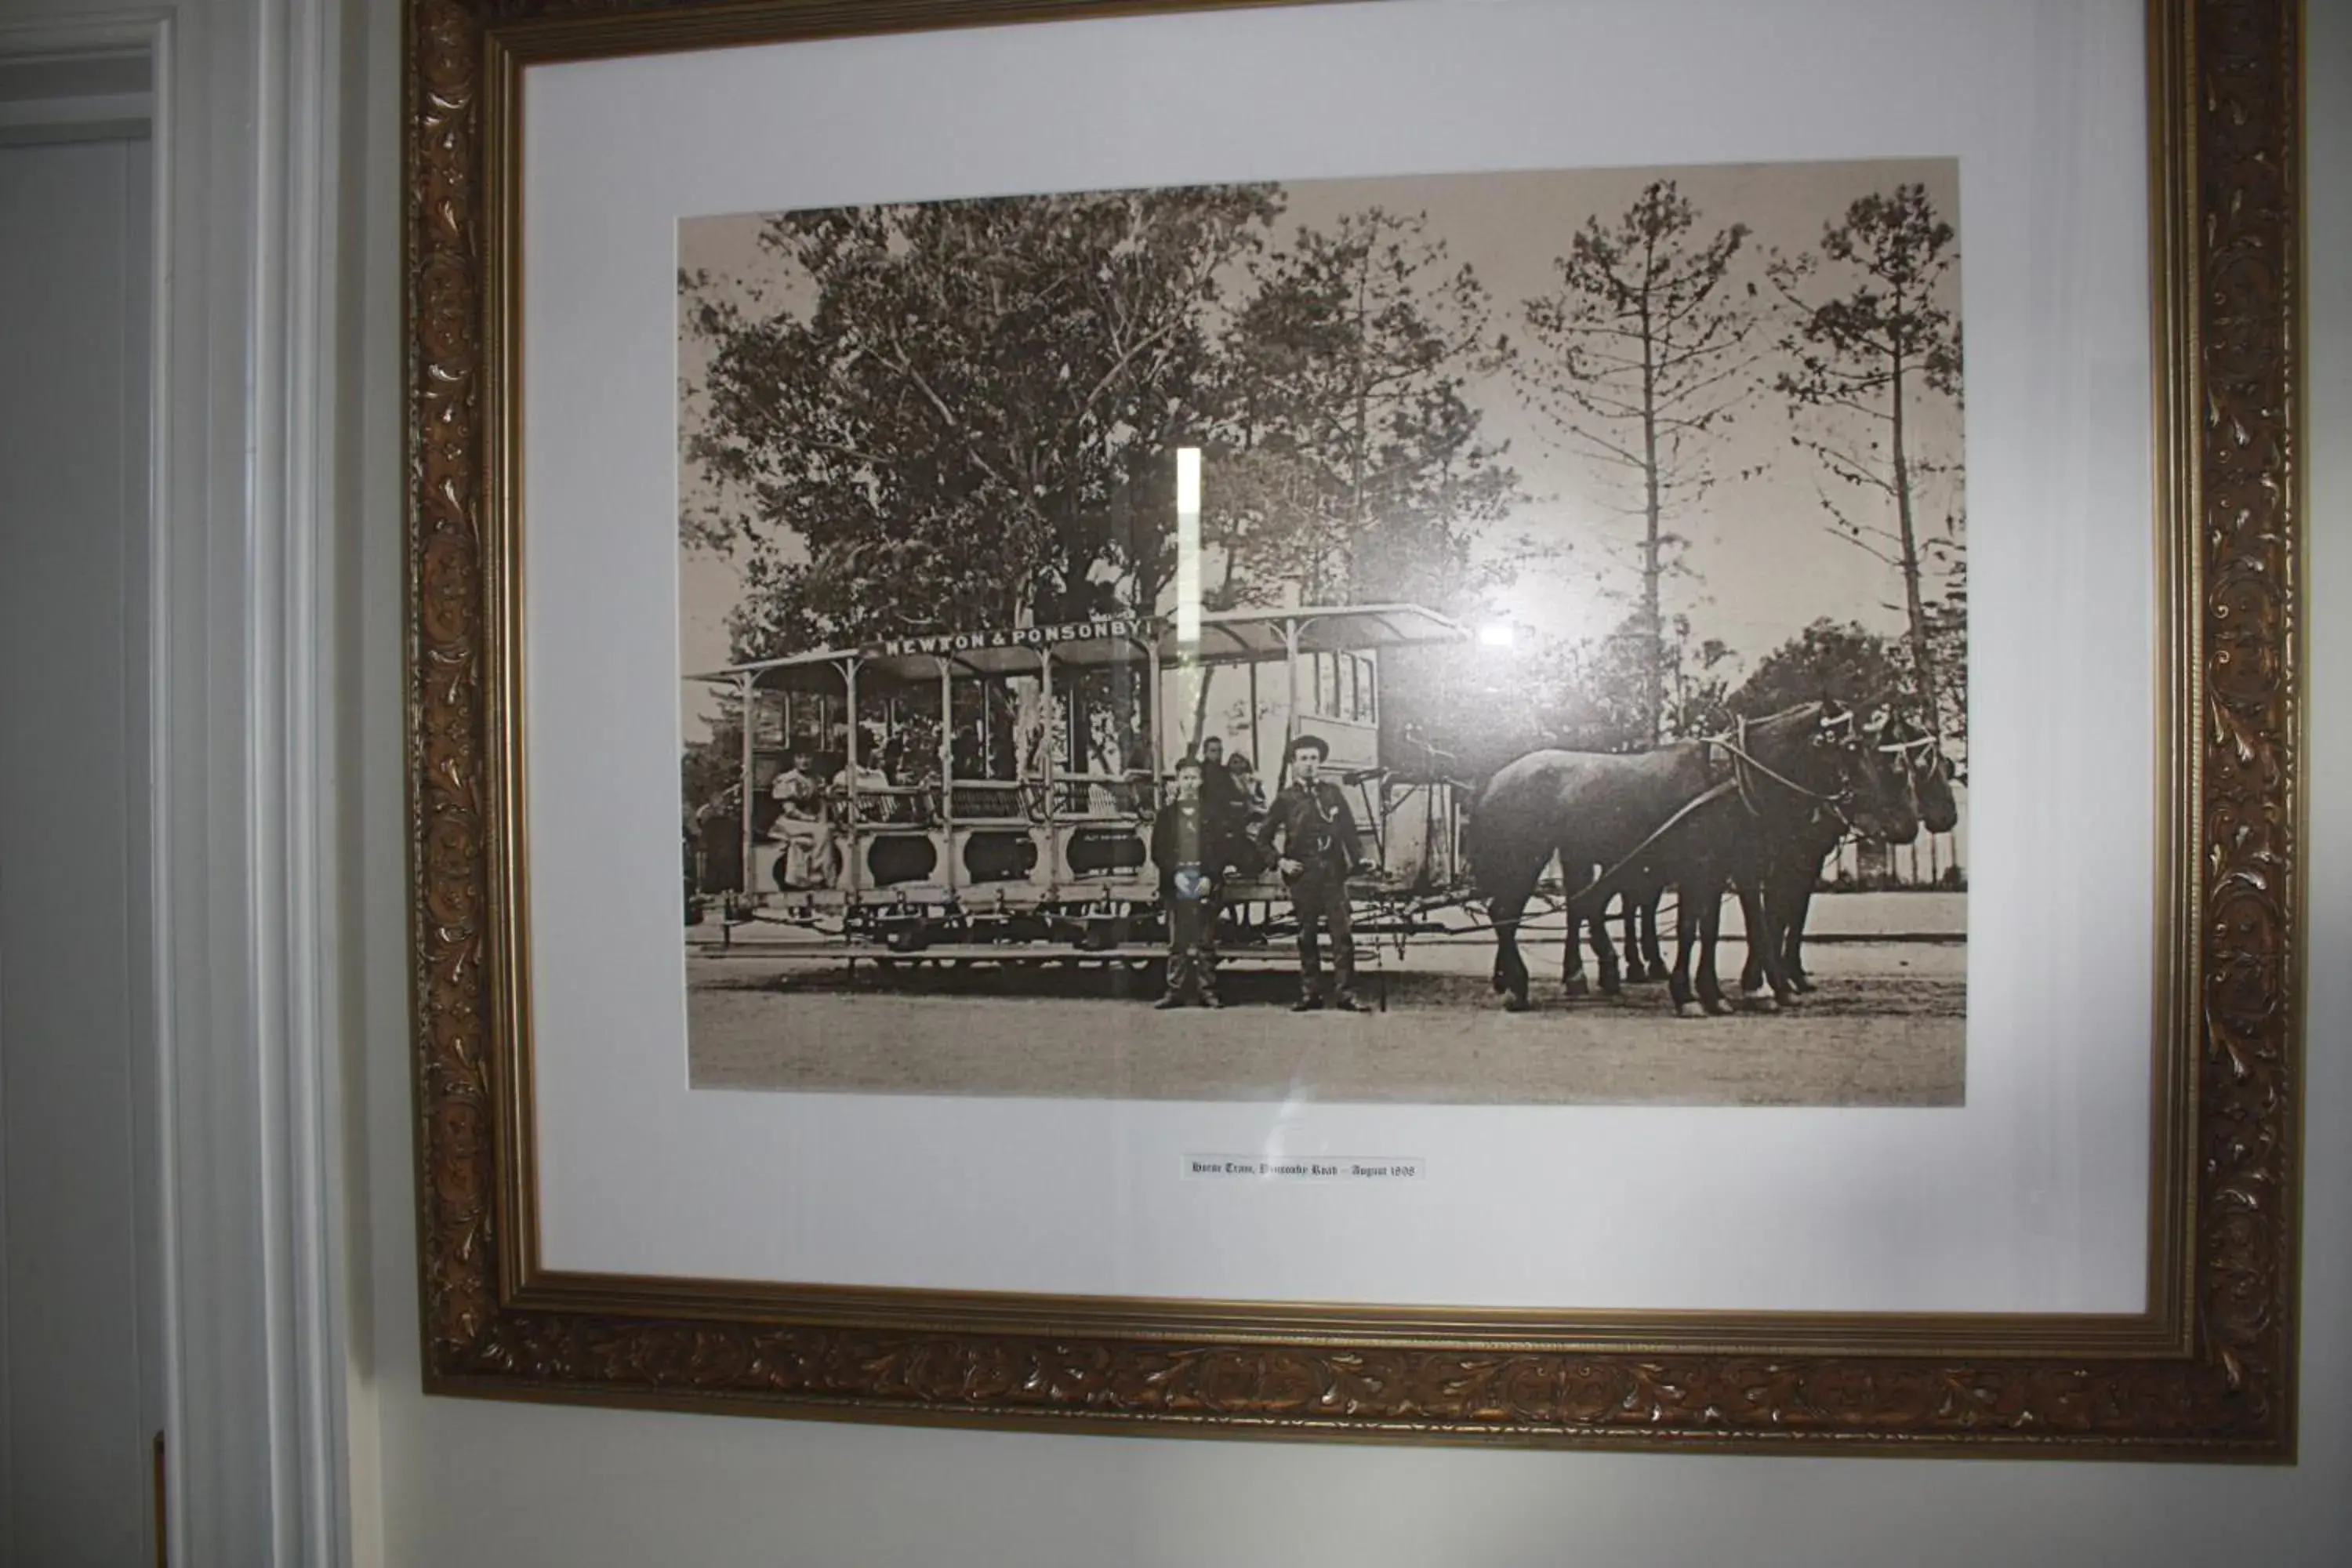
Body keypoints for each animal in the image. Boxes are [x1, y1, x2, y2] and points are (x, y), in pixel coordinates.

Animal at [1468, 705, 1929, 1025]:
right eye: (1850, 749)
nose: (1900, 824)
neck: (1733, 779)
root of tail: (1496, 778)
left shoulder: (1721, 870)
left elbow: (1713, 929)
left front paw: (1716, 993)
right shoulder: (1704, 869)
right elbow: (1696, 929)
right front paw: (1690, 995)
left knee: (1558, 909)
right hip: (1525, 857)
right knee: (1507, 913)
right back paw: (1519, 986)